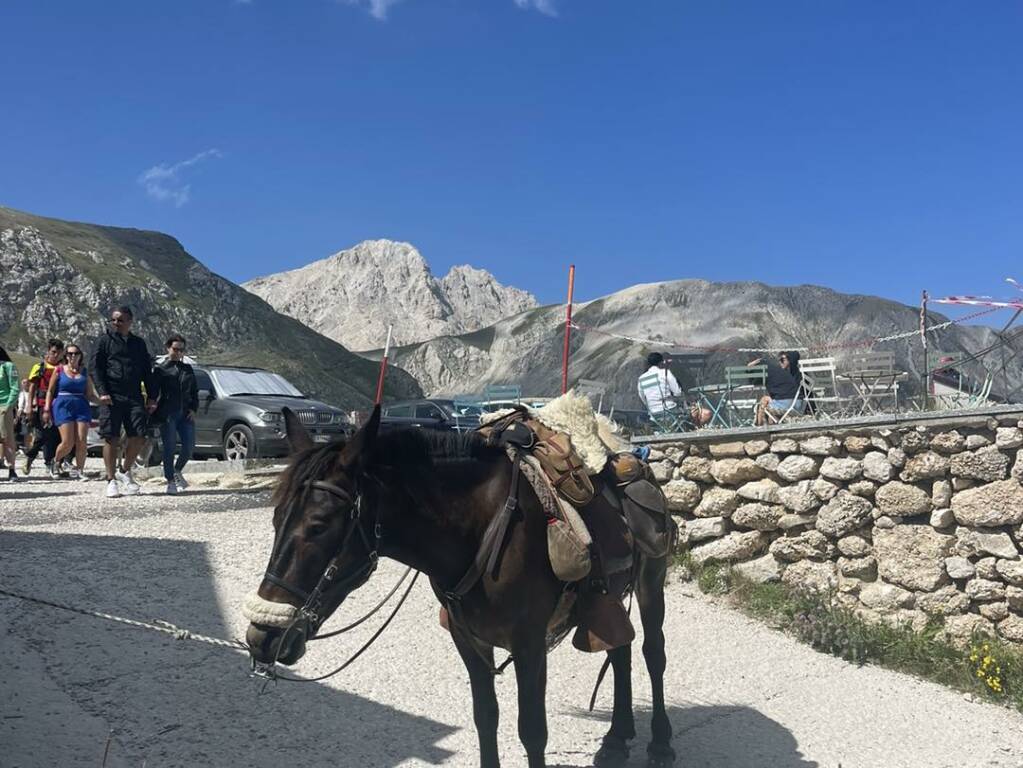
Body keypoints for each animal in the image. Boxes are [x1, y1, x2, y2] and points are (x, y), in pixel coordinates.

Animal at [245, 404, 679, 764]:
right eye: (275, 519)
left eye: (318, 525)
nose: (261, 636)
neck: (482, 529)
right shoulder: (467, 639)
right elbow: (485, 718)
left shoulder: (529, 643)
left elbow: (532, 731)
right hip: (608, 598)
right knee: (619, 648)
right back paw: (616, 739)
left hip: (651, 580)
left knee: (652, 651)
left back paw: (660, 742)